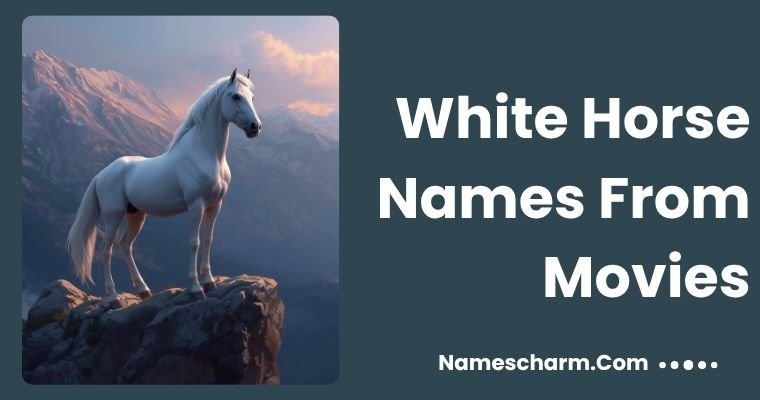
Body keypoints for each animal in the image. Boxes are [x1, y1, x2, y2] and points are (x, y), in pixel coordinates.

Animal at [67, 69, 261, 306]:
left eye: (252, 98)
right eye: (235, 96)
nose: (255, 127)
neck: (206, 154)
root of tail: (101, 175)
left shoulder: (215, 205)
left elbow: (207, 240)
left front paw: (209, 281)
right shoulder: (196, 205)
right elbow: (194, 242)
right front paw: (196, 288)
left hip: (136, 215)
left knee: (125, 245)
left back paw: (143, 290)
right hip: (113, 216)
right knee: (105, 251)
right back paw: (113, 297)